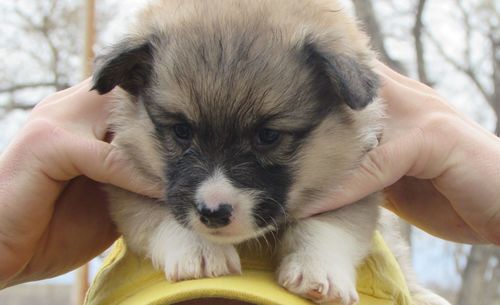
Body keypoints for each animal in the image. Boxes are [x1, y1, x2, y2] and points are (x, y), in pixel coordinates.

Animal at [92, 1, 452, 302]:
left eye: (267, 136)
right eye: (181, 131)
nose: (213, 213)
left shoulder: (353, 187)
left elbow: (329, 225)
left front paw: (317, 268)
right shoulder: (126, 179)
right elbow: (159, 214)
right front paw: (200, 249)